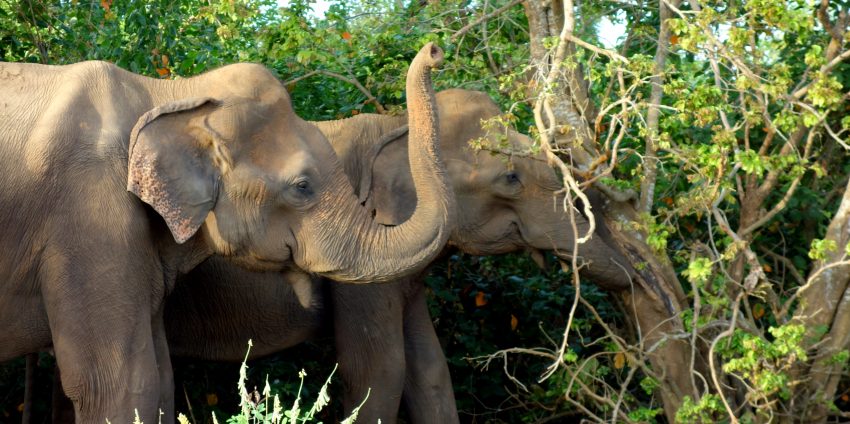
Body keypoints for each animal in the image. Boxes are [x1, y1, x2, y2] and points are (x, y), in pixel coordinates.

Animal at [0, 43, 454, 424]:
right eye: (302, 186)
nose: (434, 51)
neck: (170, 92)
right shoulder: (90, 215)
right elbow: (116, 383)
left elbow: (160, 376)